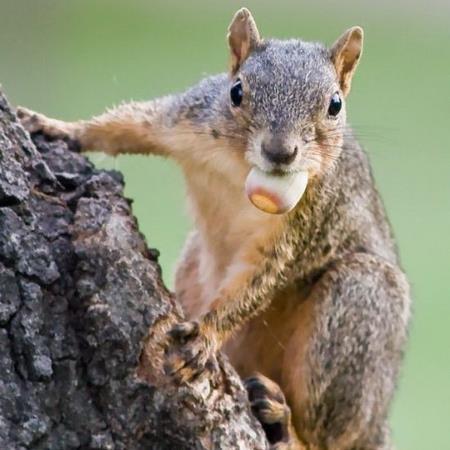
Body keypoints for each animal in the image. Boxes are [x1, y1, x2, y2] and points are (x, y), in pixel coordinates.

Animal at [17, 8, 412, 450]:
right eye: (236, 91)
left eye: (335, 105)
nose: (280, 152)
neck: (240, 166)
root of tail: (377, 425)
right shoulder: (187, 117)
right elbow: (125, 127)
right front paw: (56, 128)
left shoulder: (303, 220)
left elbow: (256, 281)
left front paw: (204, 335)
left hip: (361, 307)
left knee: (327, 434)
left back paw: (286, 425)